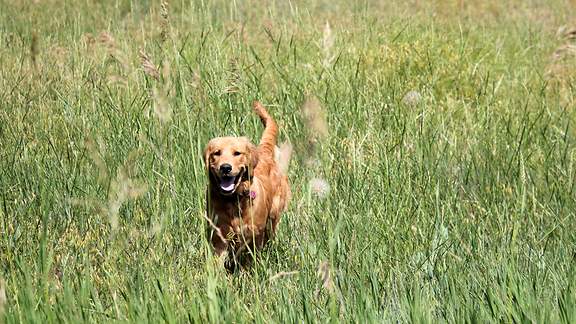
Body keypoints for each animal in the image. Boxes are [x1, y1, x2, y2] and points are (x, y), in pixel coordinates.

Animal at [205, 100, 290, 270]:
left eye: (237, 153)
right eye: (216, 153)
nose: (225, 167)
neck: (233, 200)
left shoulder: (254, 234)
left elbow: (250, 260)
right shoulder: (219, 235)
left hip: (273, 215)